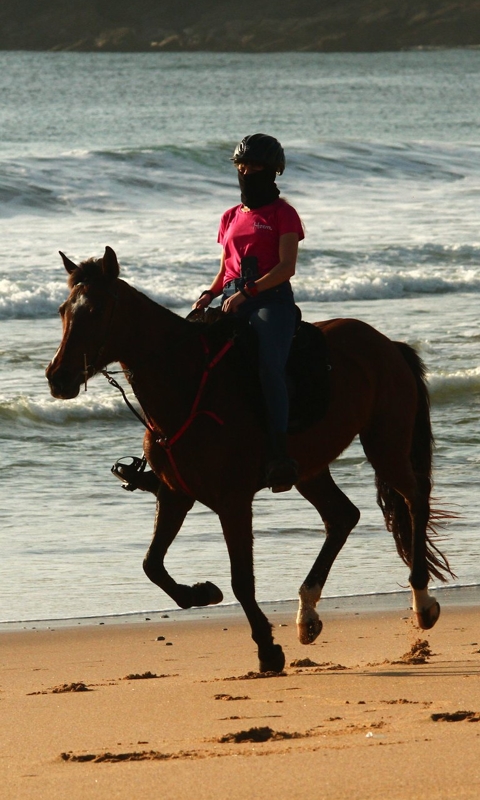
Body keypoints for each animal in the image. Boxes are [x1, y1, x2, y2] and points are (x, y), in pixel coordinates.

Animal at [46, 247, 454, 672]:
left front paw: (267, 648)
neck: (187, 385)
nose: (58, 378)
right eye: (63, 310)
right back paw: (307, 613)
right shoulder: (175, 494)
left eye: (95, 311)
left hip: (385, 444)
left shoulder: (233, 501)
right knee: (343, 516)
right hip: (310, 469)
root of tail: (387, 344)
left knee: (414, 499)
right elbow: (152, 564)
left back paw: (422, 602)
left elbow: (241, 580)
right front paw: (202, 593)